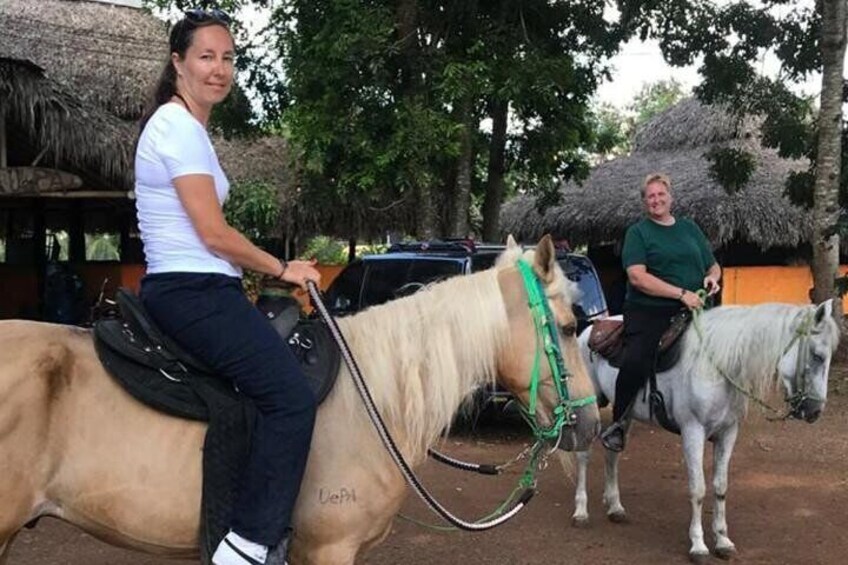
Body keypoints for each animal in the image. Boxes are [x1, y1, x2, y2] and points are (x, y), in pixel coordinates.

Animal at [568, 300, 840, 560]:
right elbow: (698, 489)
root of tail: (591, 329)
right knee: (583, 454)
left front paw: (722, 540)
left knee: (612, 452)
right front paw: (698, 545)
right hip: (590, 404)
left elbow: (720, 486)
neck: (718, 366)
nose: (815, 411)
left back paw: (615, 506)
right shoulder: (693, 432)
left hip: (624, 413)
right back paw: (581, 512)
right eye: (817, 356)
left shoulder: (728, 433)